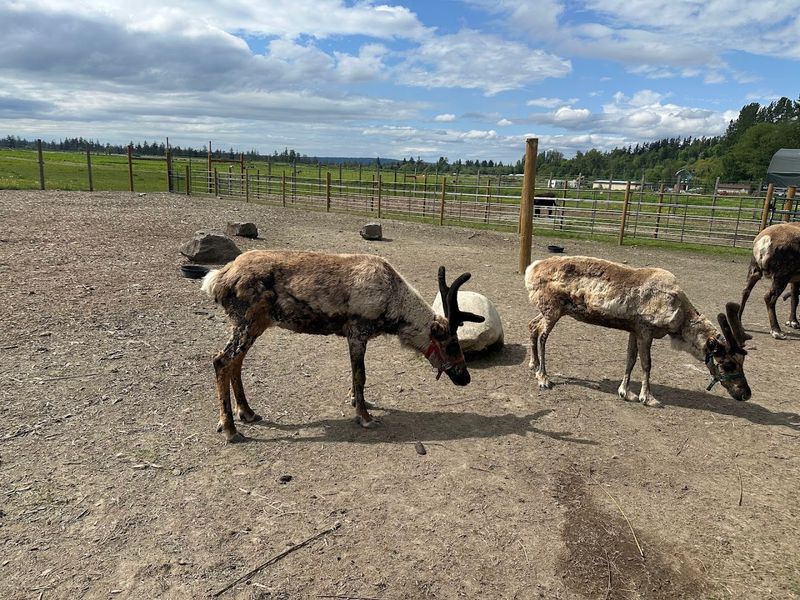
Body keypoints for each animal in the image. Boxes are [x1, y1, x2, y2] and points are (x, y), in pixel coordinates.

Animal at [196, 250, 484, 442]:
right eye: (451, 345)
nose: (465, 377)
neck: (394, 303)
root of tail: (217, 278)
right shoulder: (357, 332)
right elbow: (361, 375)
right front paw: (365, 416)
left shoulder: (352, 335)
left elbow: (355, 376)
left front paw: (355, 400)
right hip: (247, 321)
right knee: (221, 360)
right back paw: (230, 428)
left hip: (253, 325)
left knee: (236, 362)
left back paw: (247, 412)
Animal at [525, 256, 751, 407]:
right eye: (728, 364)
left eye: (742, 361)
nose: (746, 393)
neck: (679, 318)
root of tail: (531, 269)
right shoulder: (645, 330)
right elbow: (646, 364)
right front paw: (647, 397)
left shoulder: (633, 331)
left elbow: (630, 359)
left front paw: (625, 392)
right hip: (553, 309)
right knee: (543, 336)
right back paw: (543, 377)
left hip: (550, 311)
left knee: (532, 325)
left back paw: (533, 364)